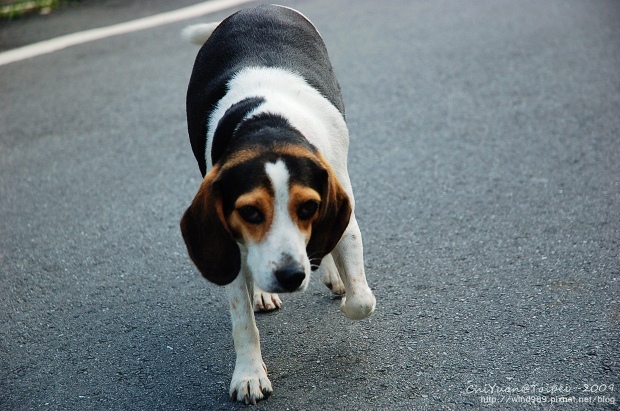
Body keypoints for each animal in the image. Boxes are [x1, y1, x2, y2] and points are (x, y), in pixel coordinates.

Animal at [178, 4, 372, 406]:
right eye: (250, 212)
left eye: (309, 208)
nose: (291, 277)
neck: (269, 128)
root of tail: (254, 7)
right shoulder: (228, 243)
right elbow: (242, 323)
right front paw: (249, 375)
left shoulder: (342, 215)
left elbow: (362, 300)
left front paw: (342, 288)